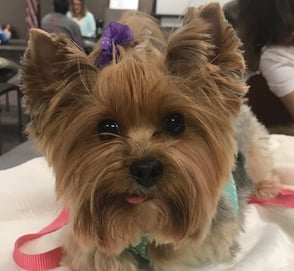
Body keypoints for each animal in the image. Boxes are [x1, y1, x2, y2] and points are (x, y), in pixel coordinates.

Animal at [21, 2, 280, 271]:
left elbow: (173, 253)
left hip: (254, 147)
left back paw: (267, 189)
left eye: (175, 122)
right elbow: (104, 255)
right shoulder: (83, 246)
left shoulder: (208, 243)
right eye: (107, 127)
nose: (146, 169)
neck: (144, 220)